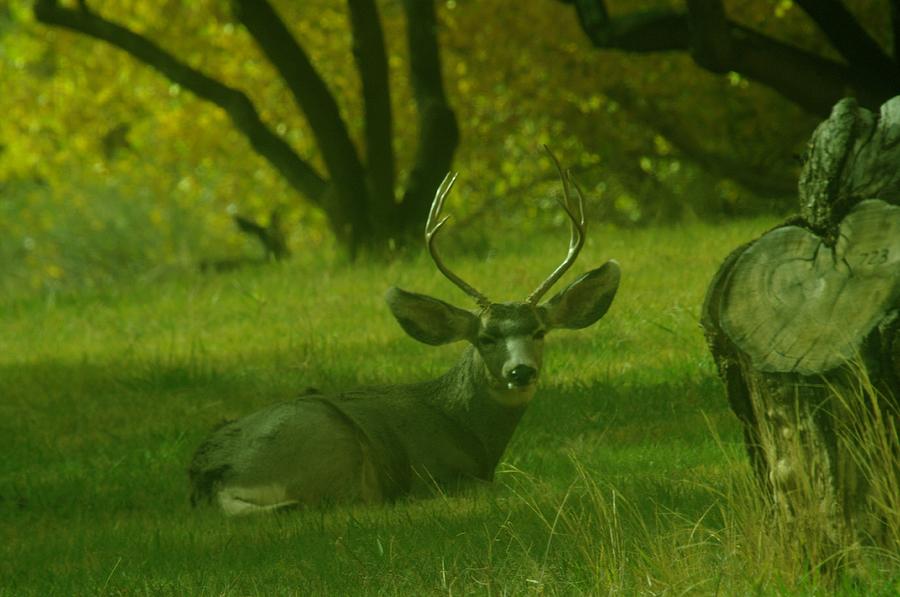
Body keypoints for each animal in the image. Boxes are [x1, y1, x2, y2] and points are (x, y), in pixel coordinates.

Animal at [189, 156, 620, 516]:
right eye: (486, 338)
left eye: (540, 331)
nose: (520, 371)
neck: (467, 429)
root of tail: (213, 473)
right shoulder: (440, 472)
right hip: (333, 446)